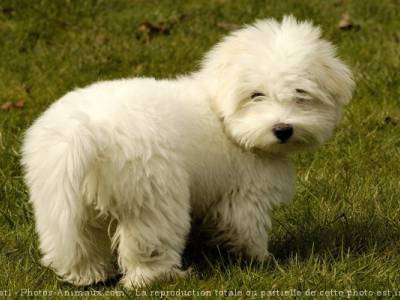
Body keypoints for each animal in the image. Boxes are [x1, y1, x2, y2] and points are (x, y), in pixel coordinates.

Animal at [21, 17, 354, 288]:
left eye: (301, 94)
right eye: (255, 95)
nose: (283, 129)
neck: (221, 113)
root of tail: (88, 129)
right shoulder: (245, 194)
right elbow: (247, 228)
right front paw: (262, 259)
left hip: (59, 200)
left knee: (76, 242)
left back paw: (88, 276)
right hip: (153, 197)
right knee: (147, 245)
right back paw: (160, 277)